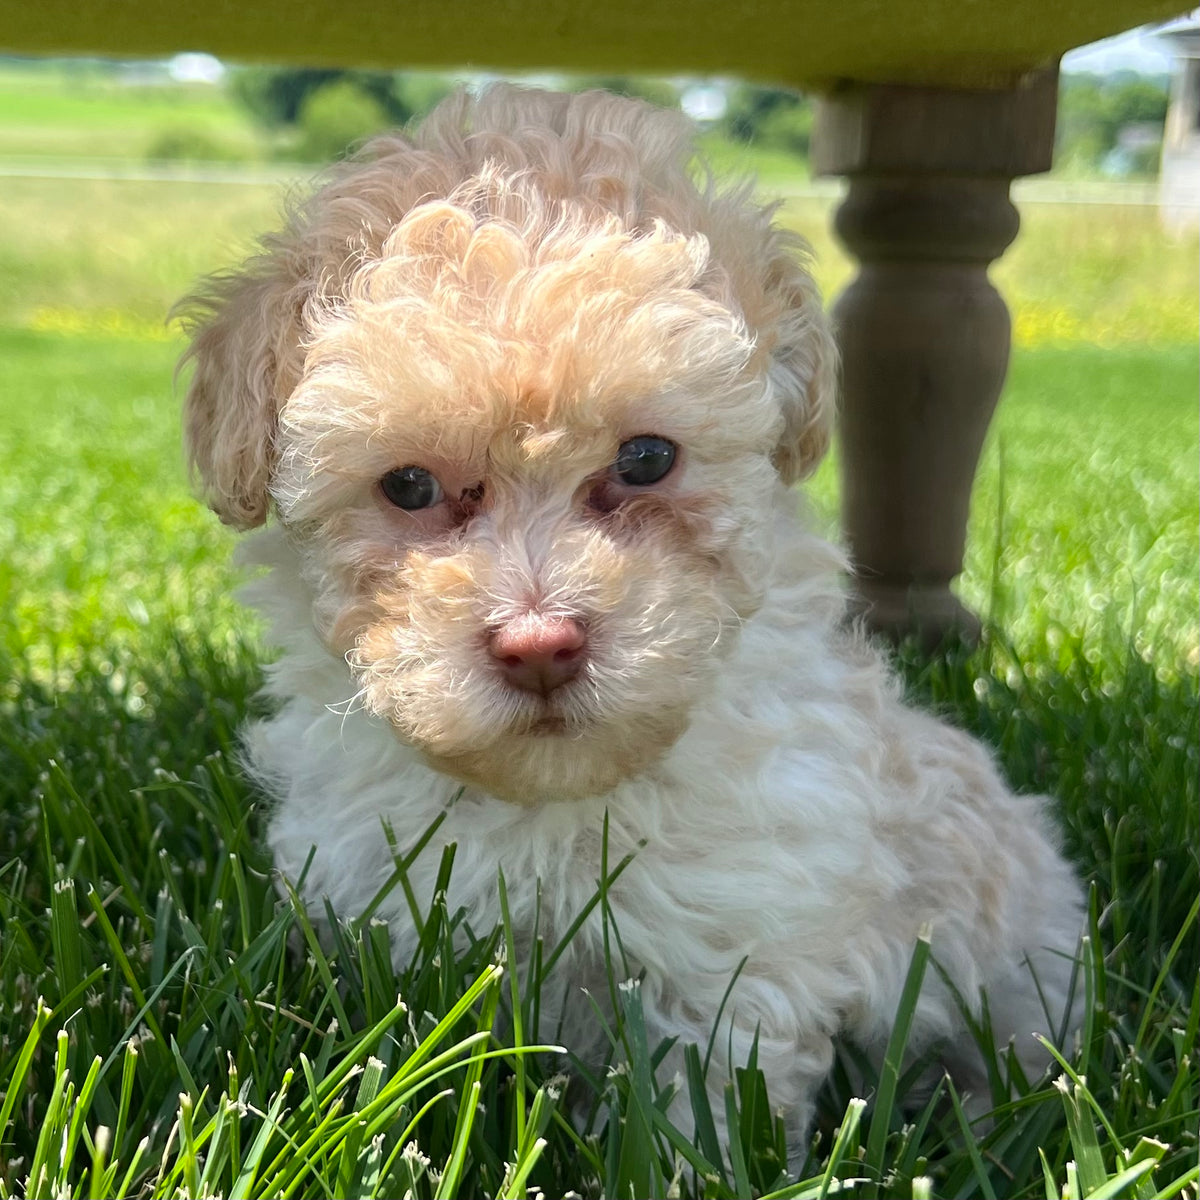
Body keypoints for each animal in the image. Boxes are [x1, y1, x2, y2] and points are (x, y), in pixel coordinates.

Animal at [180, 82, 1089, 1142]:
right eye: (408, 485)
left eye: (648, 458)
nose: (540, 645)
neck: (550, 800)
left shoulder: (737, 941)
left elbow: (711, 1096)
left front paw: (700, 1159)